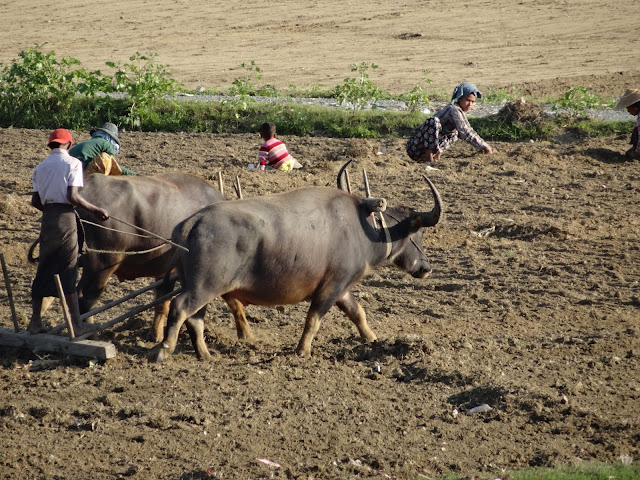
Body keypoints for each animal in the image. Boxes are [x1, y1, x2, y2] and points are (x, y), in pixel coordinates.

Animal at [77, 174, 225, 340]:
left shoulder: (165, 273)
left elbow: (161, 304)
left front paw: (155, 335)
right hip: (100, 266)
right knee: (85, 300)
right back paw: (91, 335)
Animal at [151, 174, 440, 362]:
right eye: (418, 234)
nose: (426, 267)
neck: (363, 229)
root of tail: (194, 220)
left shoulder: (341, 287)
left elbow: (357, 312)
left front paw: (371, 338)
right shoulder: (330, 288)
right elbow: (313, 320)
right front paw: (302, 351)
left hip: (201, 286)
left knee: (195, 319)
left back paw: (205, 354)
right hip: (204, 286)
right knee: (180, 308)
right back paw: (164, 349)